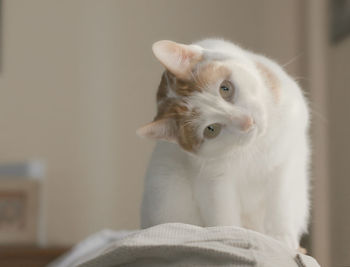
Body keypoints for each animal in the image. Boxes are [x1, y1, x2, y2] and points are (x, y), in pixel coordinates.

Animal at [137, 38, 308, 251]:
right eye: (211, 129)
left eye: (225, 88)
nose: (248, 122)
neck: (255, 145)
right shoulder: (215, 183)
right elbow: (224, 219)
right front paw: (232, 240)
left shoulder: (283, 164)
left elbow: (280, 204)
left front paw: (281, 239)